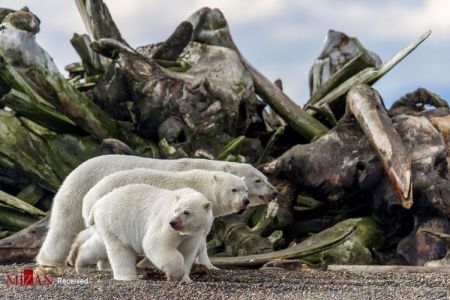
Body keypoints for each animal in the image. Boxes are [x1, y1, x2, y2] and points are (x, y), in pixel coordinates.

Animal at [37, 155, 278, 268]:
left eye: (266, 177)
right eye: (258, 180)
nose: (275, 192)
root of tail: (73, 170)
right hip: (78, 191)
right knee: (64, 226)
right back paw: (51, 260)